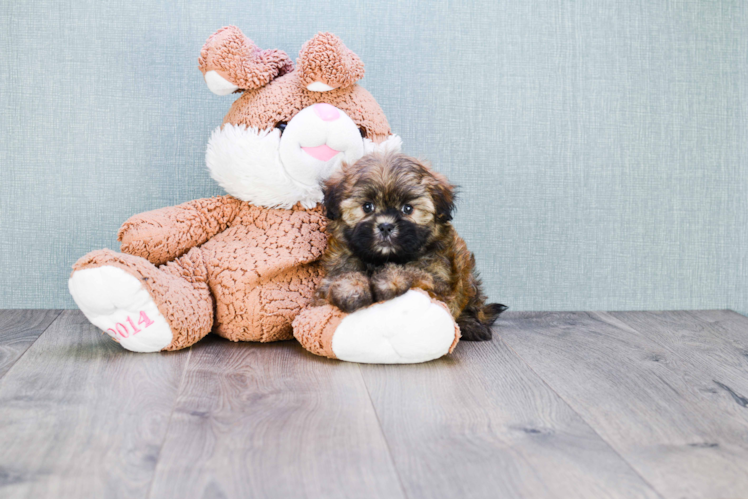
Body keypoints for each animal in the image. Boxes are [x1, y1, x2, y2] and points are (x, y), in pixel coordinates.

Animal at [312, 151, 506, 340]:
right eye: (367, 207)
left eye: (407, 208)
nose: (386, 226)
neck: (382, 258)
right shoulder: (336, 267)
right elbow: (343, 276)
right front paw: (351, 289)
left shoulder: (440, 283)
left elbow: (413, 271)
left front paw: (389, 280)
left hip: (467, 276)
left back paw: (471, 325)